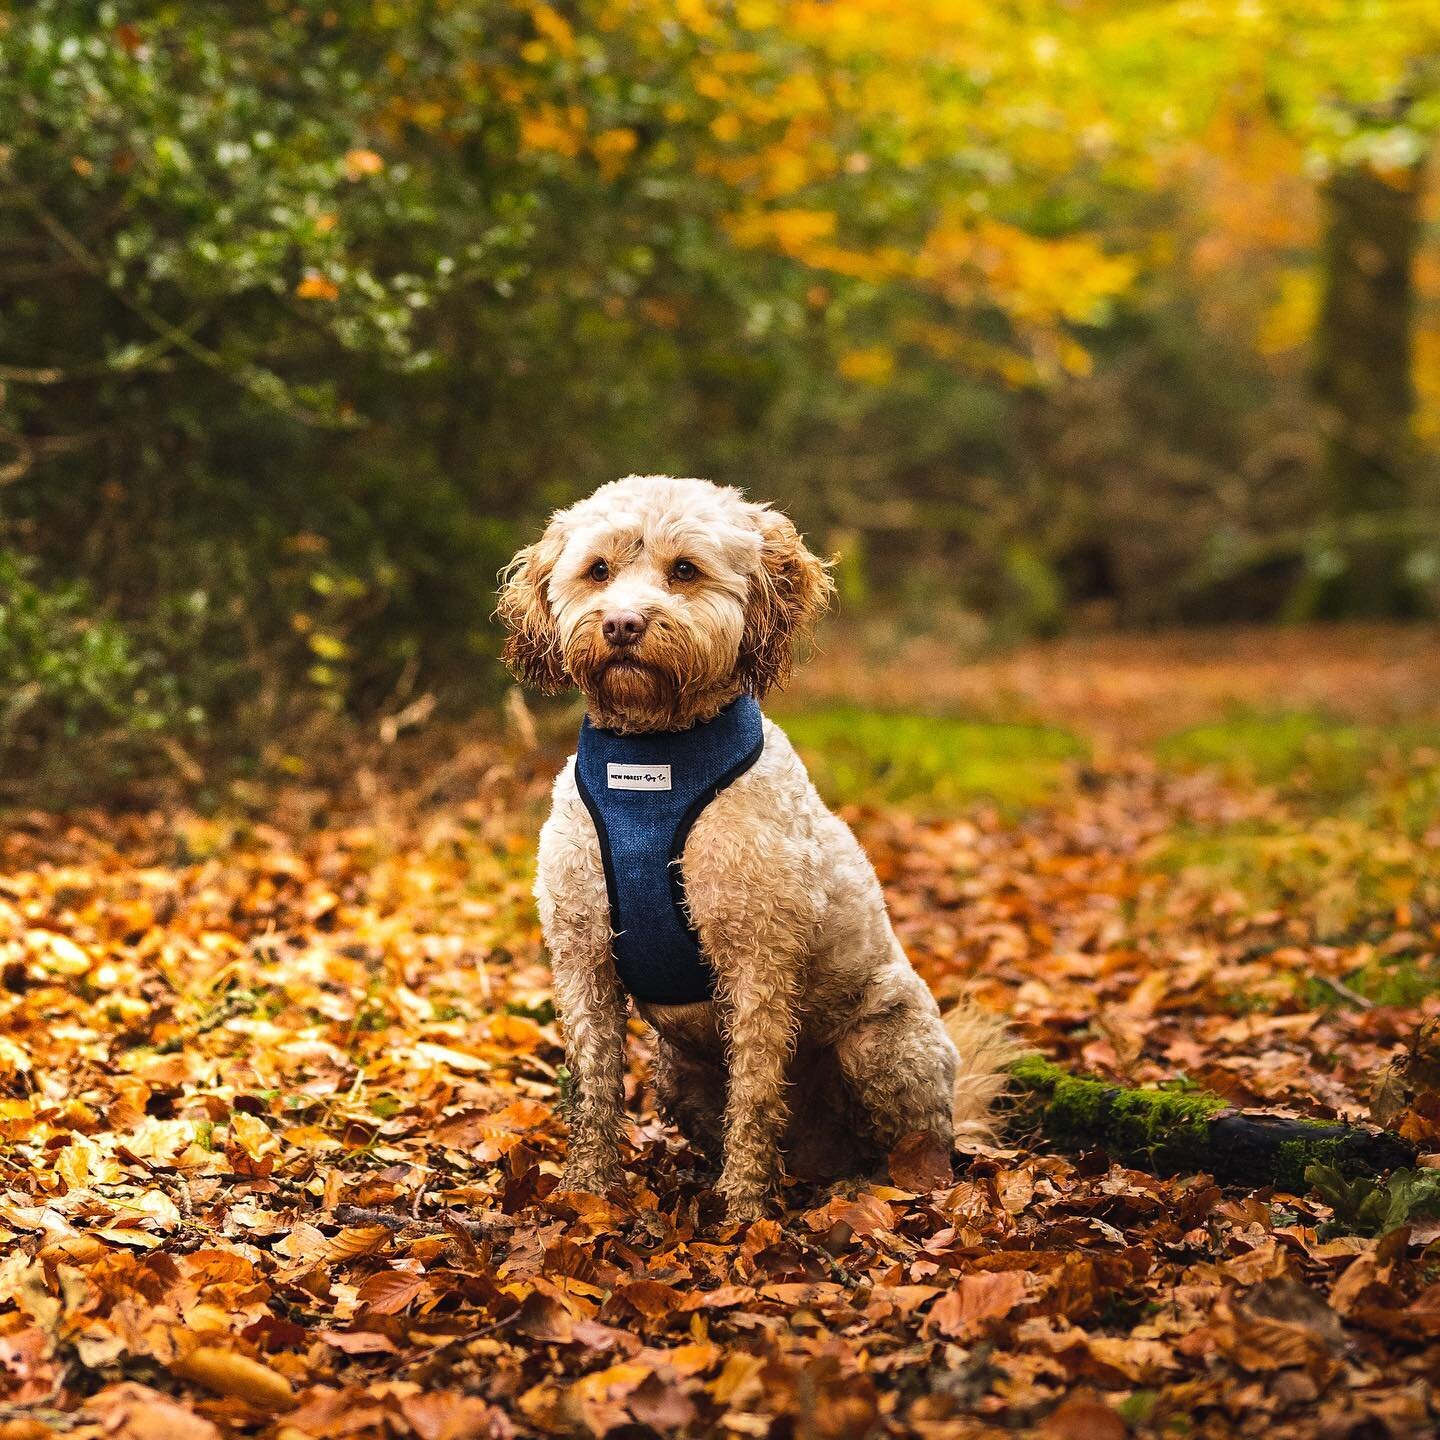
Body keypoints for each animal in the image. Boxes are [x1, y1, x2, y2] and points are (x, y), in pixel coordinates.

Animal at [501, 478, 1008, 1221]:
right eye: (598, 571)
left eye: (685, 570)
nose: (622, 624)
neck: (653, 758)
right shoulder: (582, 951)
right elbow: (591, 1085)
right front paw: (587, 1192)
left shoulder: (758, 959)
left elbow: (757, 1093)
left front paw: (743, 1209)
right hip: (676, 1071)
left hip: (882, 1046)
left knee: (914, 1149)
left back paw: (864, 1187)